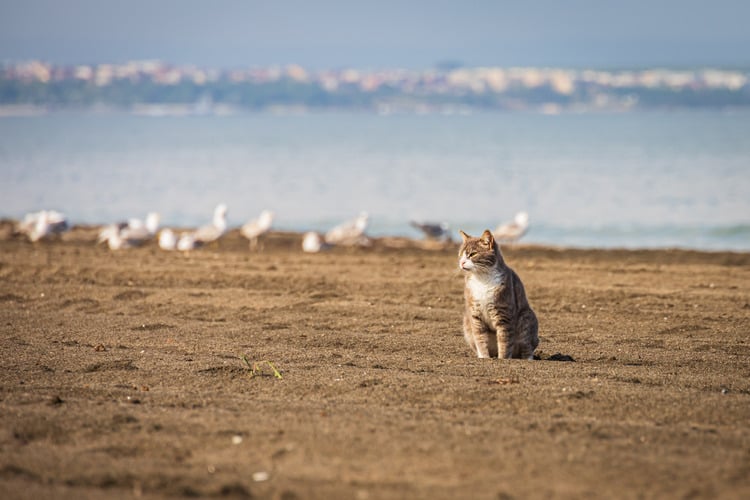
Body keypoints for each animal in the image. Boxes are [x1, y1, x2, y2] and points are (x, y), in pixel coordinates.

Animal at [458, 229, 540, 358]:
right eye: (460, 254)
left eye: (472, 254)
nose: (461, 262)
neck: (482, 279)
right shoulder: (475, 314)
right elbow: (480, 338)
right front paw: (484, 357)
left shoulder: (504, 314)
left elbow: (504, 340)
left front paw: (503, 358)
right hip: (466, 322)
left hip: (526, 317)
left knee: (527, 347)